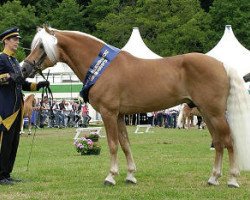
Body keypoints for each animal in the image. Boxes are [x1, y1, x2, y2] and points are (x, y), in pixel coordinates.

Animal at [21, 26, 250, 188]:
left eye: (41, 46)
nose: (24, 68)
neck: (102, 67)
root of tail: (222, 64)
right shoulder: (120, 115)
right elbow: (125, 144)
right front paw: (130, 176)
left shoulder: (108, 113)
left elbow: (113, 145)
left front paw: (111, 177)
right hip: (206, 113)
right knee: (218, 143)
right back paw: (213, 178)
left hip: (215, 113)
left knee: (228, 142)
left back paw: (232, 180)